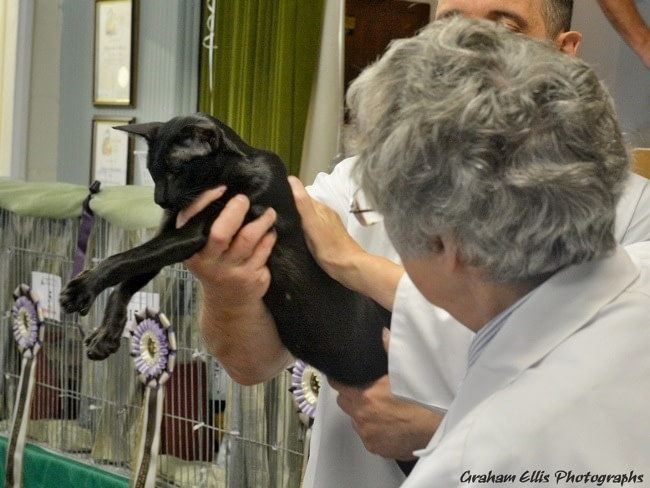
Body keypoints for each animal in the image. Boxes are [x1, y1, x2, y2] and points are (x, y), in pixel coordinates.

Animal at [60, 113, 391, 386]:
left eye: (175, 169)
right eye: (153, 172)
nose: (160, 200)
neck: (230, 172)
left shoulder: (191, 233)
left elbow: (123, 259)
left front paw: (82, 288)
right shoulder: (170, 232)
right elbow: (129, 277)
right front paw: (106, 334)